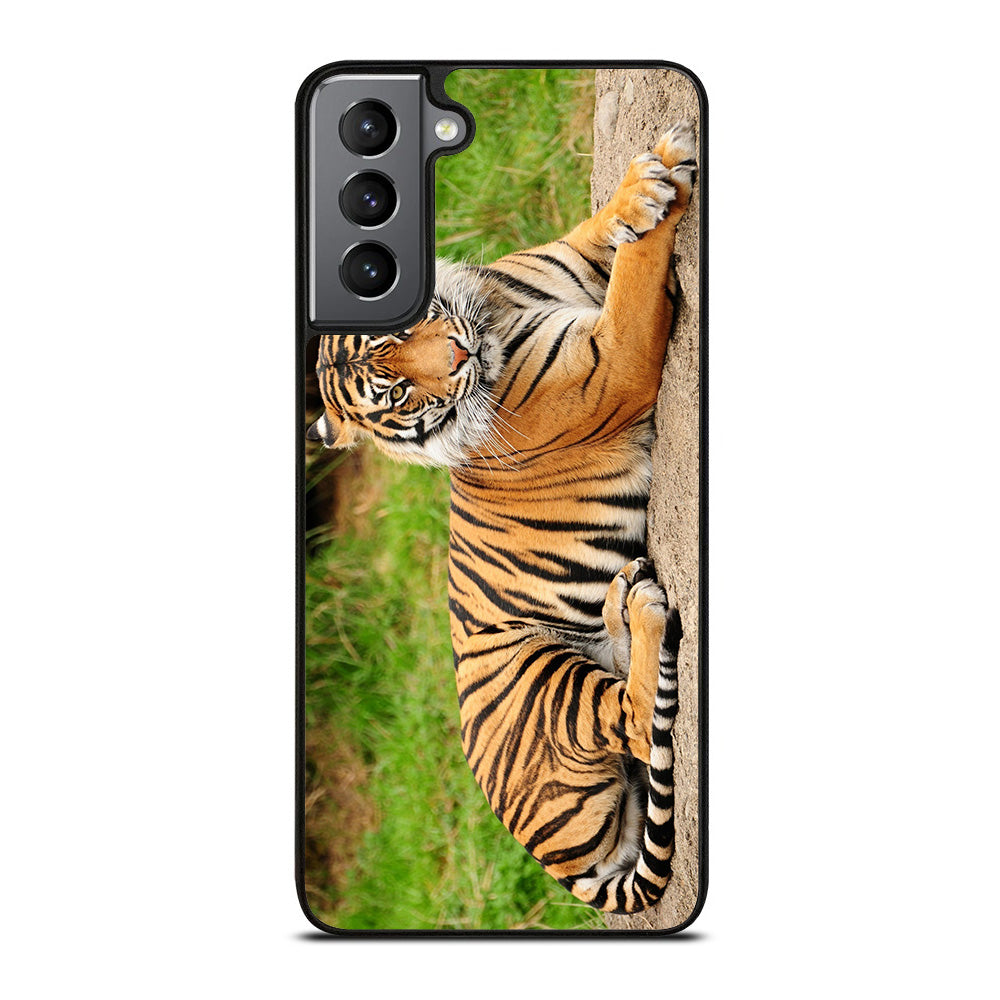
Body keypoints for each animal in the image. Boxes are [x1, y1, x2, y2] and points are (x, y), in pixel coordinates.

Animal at [307, 122, 697, 913]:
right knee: (636, 719)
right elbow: (636, 275)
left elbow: (606, 232)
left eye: (399, 336)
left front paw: (646, 182)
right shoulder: (612, 362)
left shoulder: (570, 264)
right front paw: (661, 182)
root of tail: (561, 867)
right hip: (539, 674)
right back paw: (642, 609)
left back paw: (623, 598)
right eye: (395, 393)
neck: (489, 310)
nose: (458, 355)